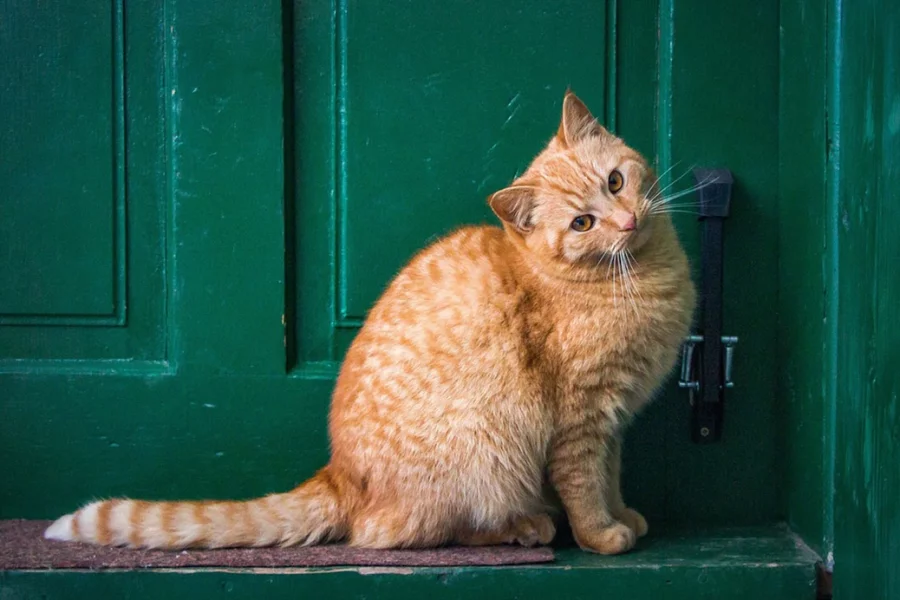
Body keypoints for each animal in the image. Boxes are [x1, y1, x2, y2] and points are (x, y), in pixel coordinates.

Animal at [44, 91, 696, 556]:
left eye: (617, 181)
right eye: (583, 223)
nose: (626, 221)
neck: (640, 276)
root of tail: (338, 474)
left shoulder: (613, 421)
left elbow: (610, 477)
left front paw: (623, 514)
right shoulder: (580, 420)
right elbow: (585, 487)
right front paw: (601, 536)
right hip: (487, 455)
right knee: (400, 534)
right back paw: (524, 526)